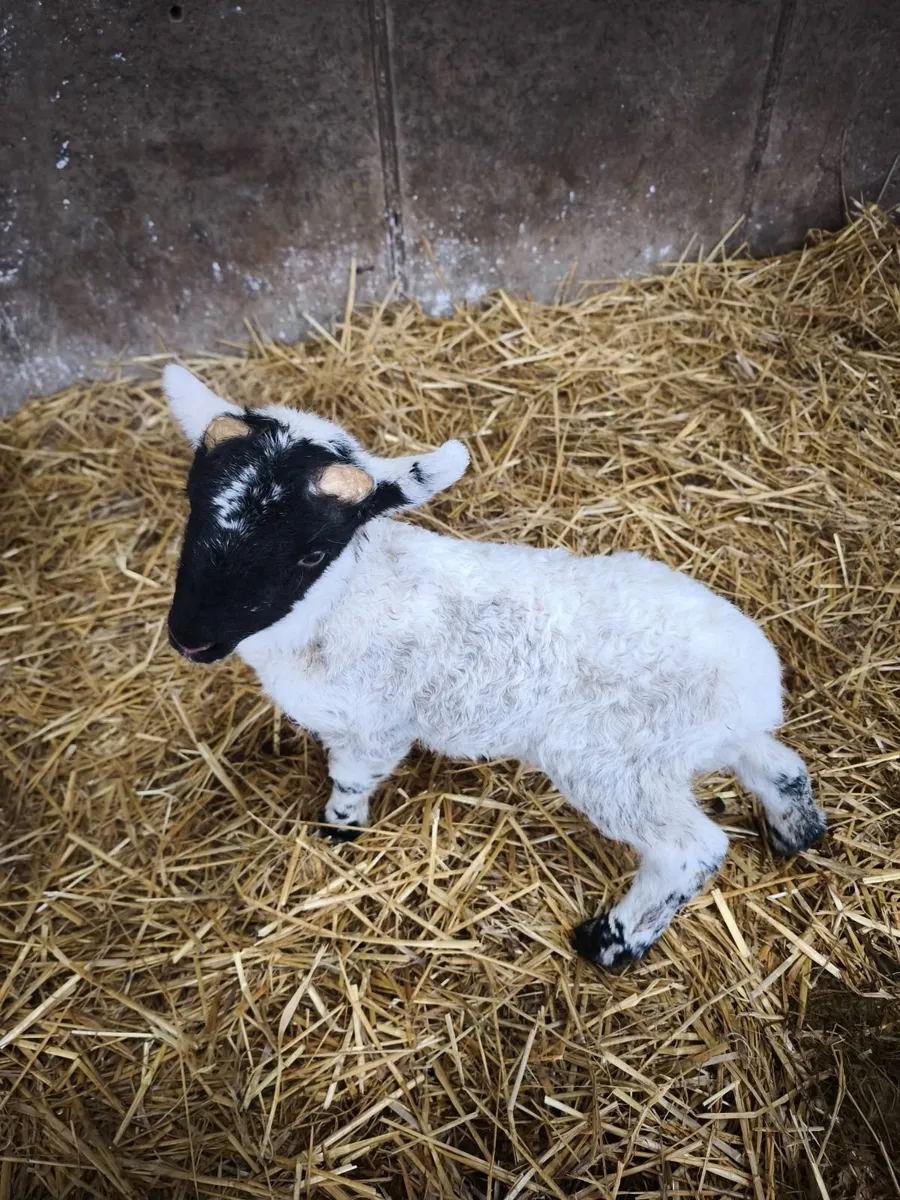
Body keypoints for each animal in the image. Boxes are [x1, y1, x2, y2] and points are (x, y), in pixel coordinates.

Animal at [162, 364, 826, 970]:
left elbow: (351, 783)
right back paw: (797, 834)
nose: (190, 639)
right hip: (694, 746)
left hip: (615, 765)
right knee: (779, 765)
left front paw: (337, 834)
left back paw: (609, 943)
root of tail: (758, 684)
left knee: (692, 849)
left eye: (313, 551)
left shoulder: (374, 728)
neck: (343, 601)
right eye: (193, 506)